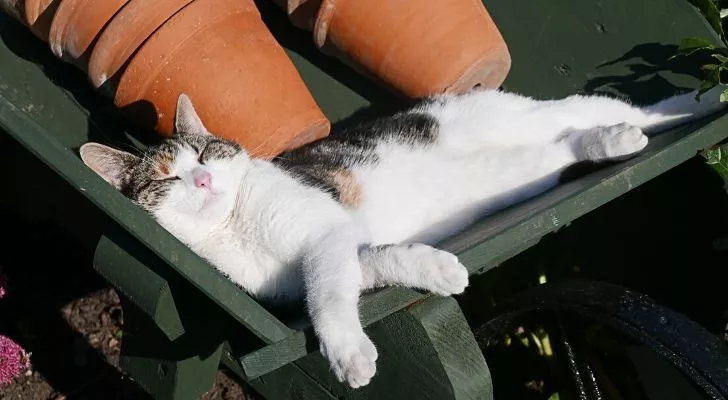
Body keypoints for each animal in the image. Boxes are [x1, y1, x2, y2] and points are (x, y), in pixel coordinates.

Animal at [79, 84, 728, 388]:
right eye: (167, 177)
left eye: (206, 153)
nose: (205, 178)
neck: (234, 227)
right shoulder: (344, 249)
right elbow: (372, 264)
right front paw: (436, 269)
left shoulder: (324, 235)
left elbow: (326, 296)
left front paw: (347, 353)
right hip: (531, 160)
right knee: (571, 144)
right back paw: (613, 141)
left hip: (541, 114)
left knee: (624, 109)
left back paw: (698, 102)